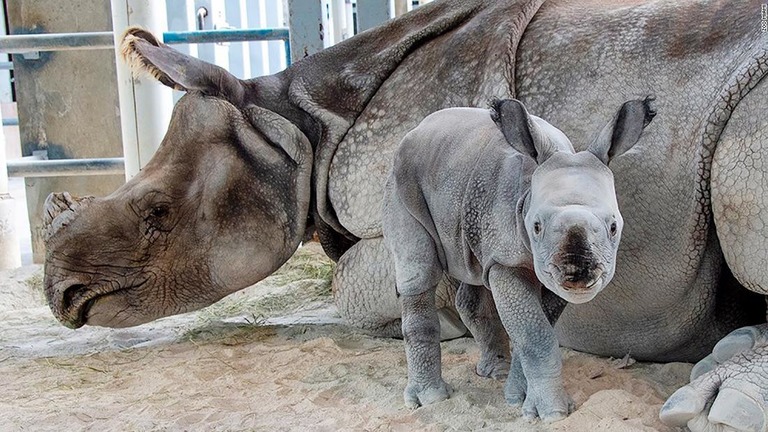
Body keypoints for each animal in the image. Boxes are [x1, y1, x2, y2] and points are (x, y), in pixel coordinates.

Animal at [384, 96, 656, 420]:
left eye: (613, 226)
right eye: (536, 226)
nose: (577, 274)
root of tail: (418, 128)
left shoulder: (545, 269)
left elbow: (537, 327)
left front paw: (517, 396)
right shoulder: (507, 259)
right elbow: (534, 334)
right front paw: (552, 413)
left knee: (473, 270)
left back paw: (494, 372)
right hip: (402, 178)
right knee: (419, 273)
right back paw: (431, 399)